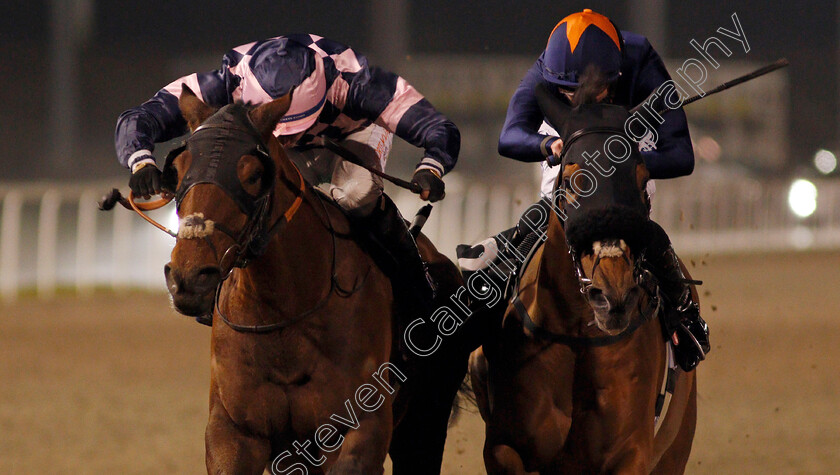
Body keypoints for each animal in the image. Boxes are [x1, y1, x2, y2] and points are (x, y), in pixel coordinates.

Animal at [162, 87, 466, 474]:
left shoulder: (360, 430)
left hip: (426, 421)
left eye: (254, 174)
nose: (189, 276)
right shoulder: (235, 431)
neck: (285, 316)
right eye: (179, 169)